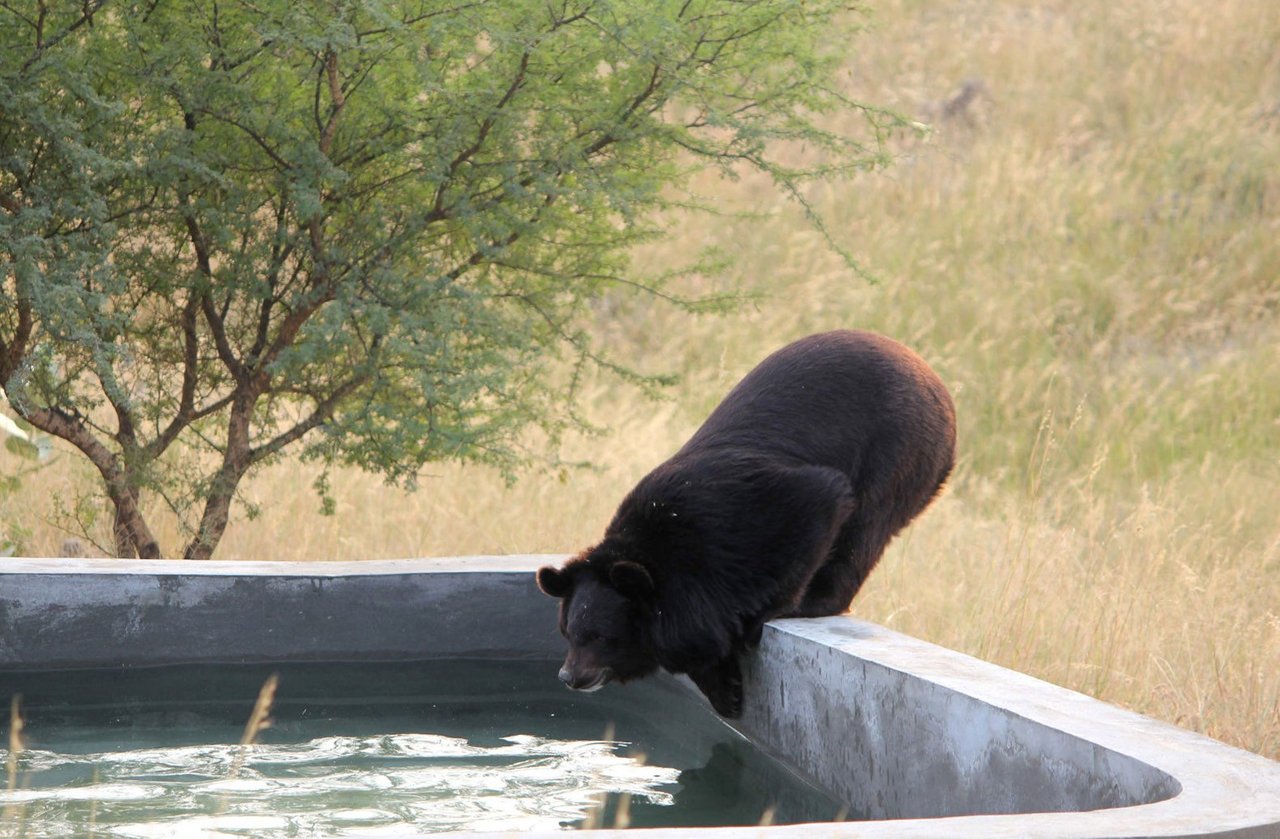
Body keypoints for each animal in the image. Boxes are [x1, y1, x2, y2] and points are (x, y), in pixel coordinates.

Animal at [535, 330, 957, 717]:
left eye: (599, 637)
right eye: (567, 633)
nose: (569, 677)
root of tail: (935, 380)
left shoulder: (744, 516)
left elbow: (819, 500)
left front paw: (765, 618)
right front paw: (727, 692)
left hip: (900, 447)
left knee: (865, 527)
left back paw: (815, 600)